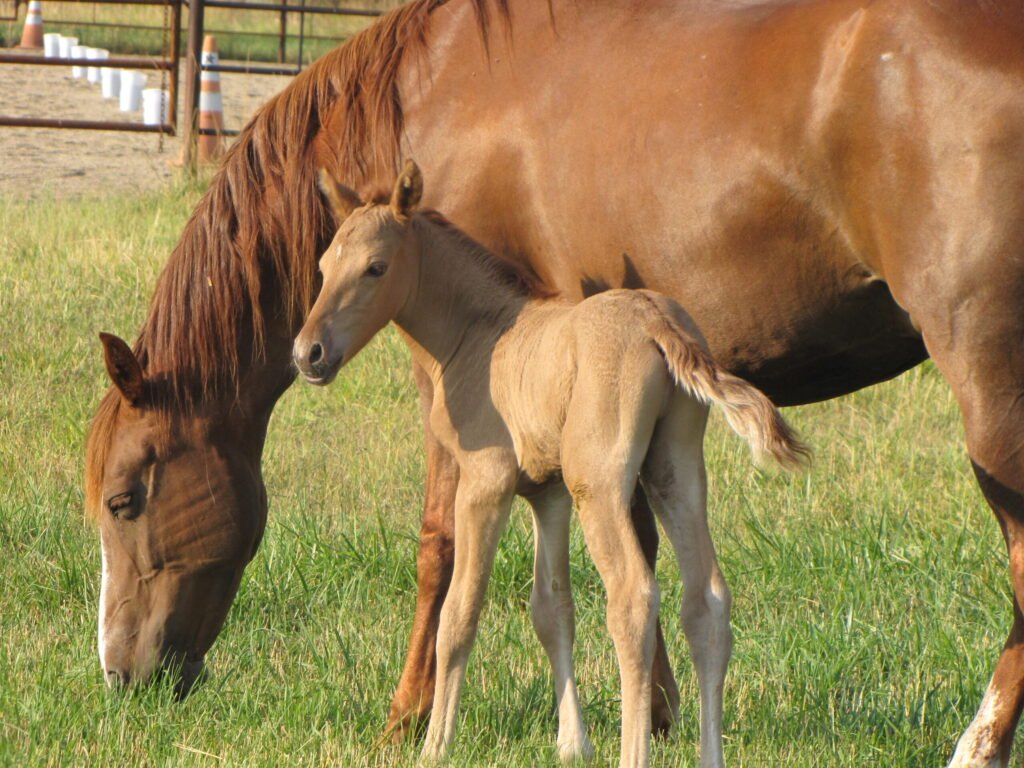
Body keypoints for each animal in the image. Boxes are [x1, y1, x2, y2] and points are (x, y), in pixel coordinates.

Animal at [292, 161, 807, 766]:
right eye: (324, 266)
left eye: (376, 267)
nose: (308, 354)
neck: (482, 334)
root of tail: (659, 322)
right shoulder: (548, 494)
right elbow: (552, 609)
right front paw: (572, 743)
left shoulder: (486, 483)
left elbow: (459, 612)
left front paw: (436, 744)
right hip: (675, 471)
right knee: (707, 602)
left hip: (599, 484)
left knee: (633, 598)